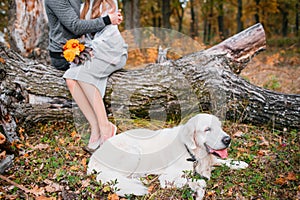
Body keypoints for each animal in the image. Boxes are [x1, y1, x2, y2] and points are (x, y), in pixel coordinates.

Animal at [87, 113, 248, 199]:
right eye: (207, 129)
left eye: (220, 127)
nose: (228, 139)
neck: (190, 151)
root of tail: (93, 159)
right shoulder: (168, 177)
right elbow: (189, 180)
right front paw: (198, 187)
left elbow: (220, 160)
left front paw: (239, 163)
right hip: (133, 152)